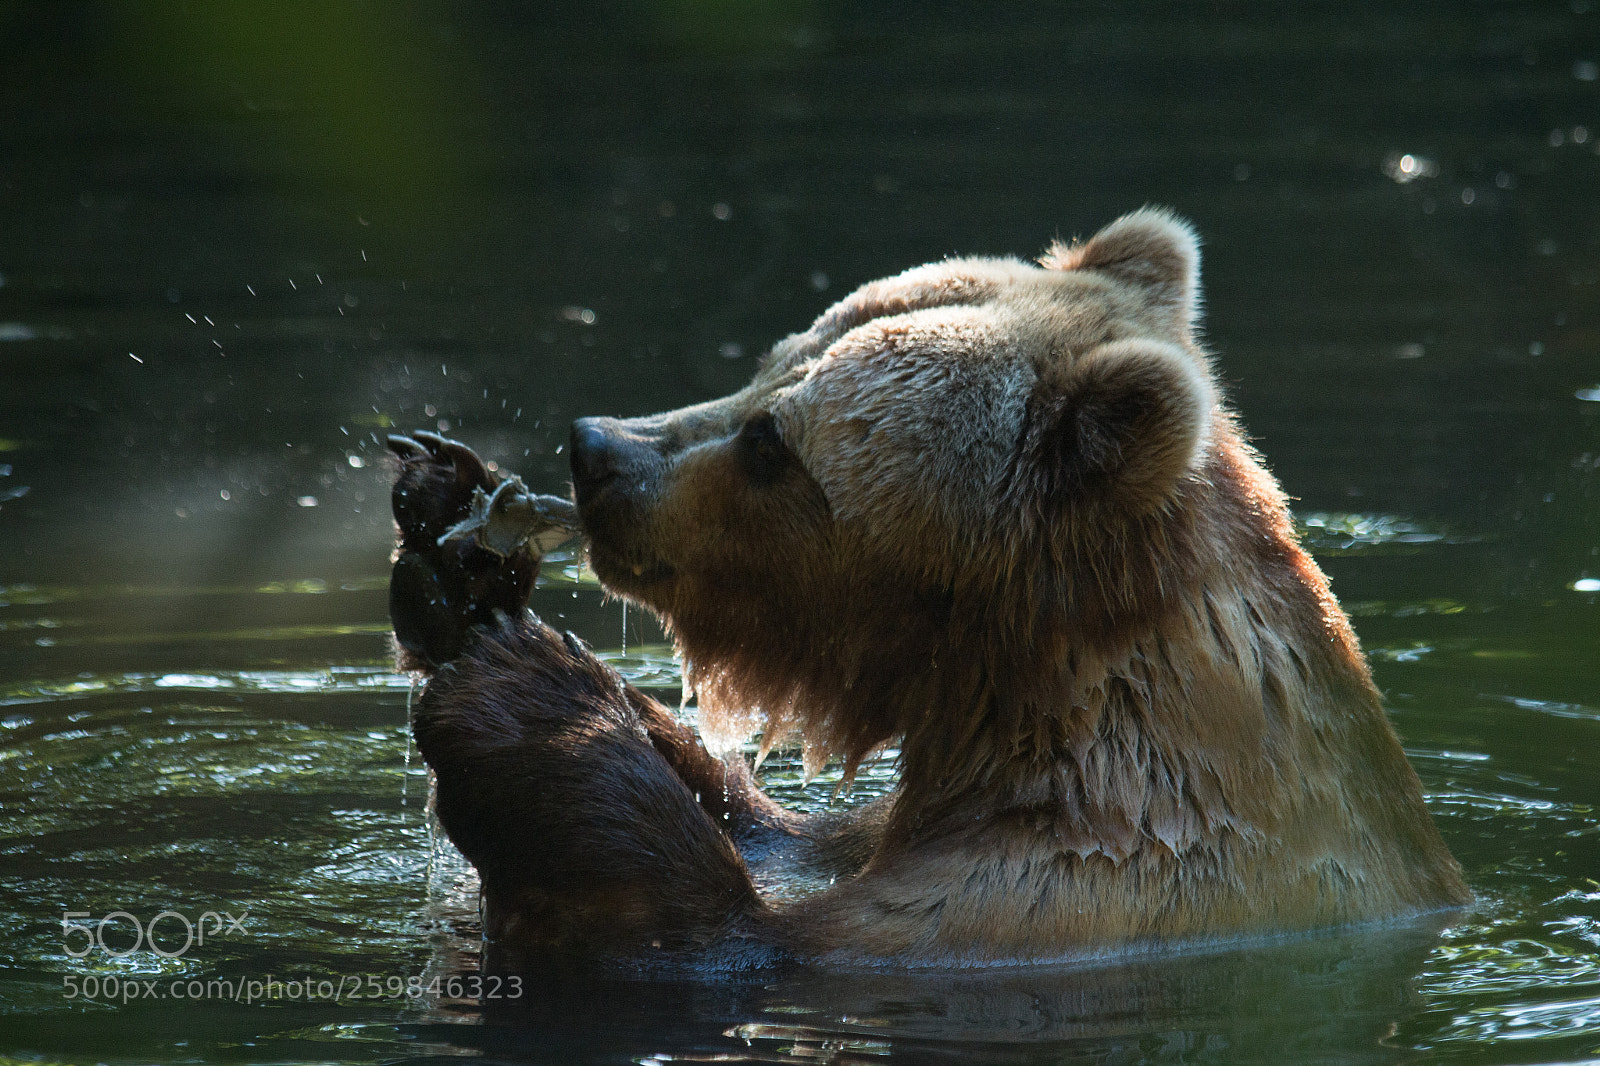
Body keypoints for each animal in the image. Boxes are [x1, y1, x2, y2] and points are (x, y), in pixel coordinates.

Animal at [387, 208, 1470, 967]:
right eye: (771, 361)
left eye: (773, 443)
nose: (598, 452)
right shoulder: (893, 831)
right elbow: (785, 834)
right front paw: (452, 554)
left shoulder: (1046, 902)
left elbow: (705, 934)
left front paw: (527, 697)